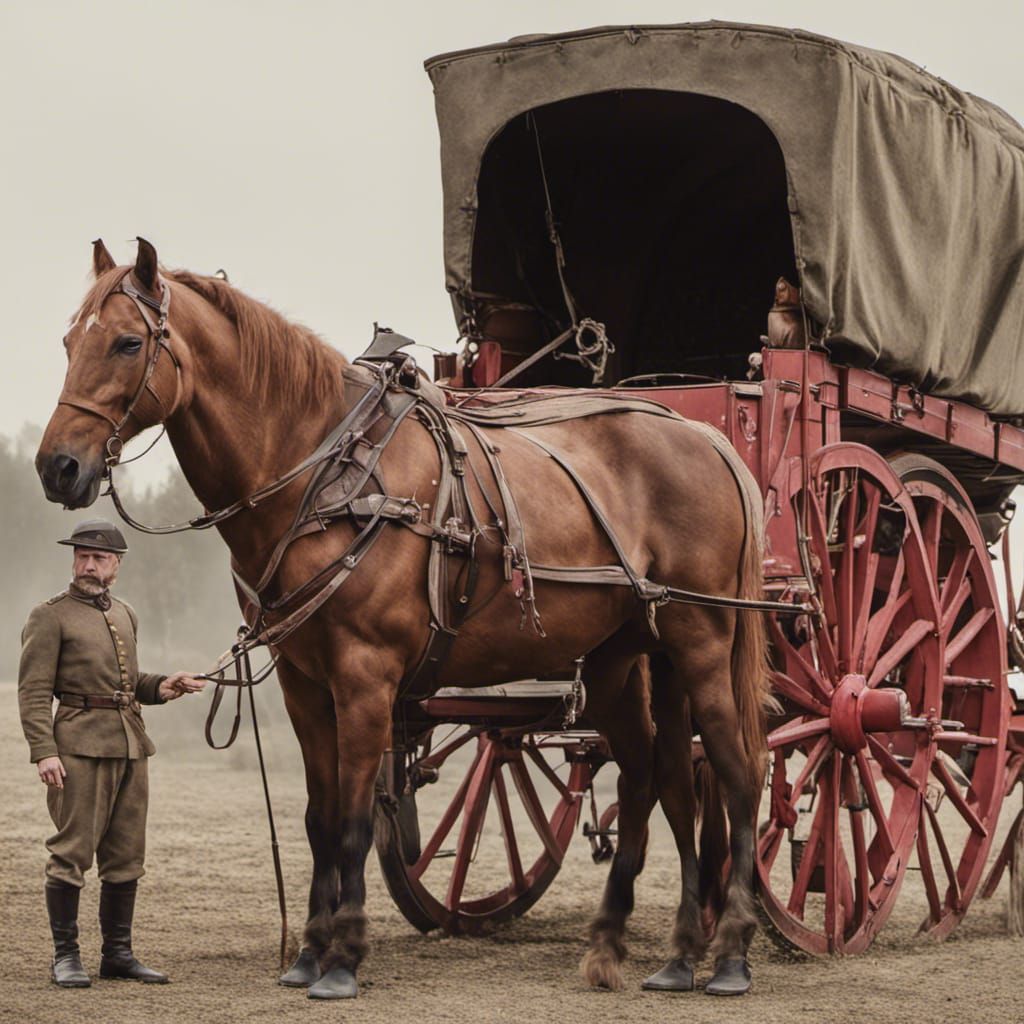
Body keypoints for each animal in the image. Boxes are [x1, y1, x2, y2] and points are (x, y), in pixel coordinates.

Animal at [36, 238, 771, 999]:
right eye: (69, 342)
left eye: (127, 343)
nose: (58, 466)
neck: (328, 477)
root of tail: (705, 437)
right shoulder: (305, 686)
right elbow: (321, 819)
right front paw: (308, 952)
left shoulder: (366, 678)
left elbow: (356, 823)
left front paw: (343, 958)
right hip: (627, 662)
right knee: (661, 780)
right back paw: (660, 951)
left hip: (704, 644)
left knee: (739, 772)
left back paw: (731, 952)